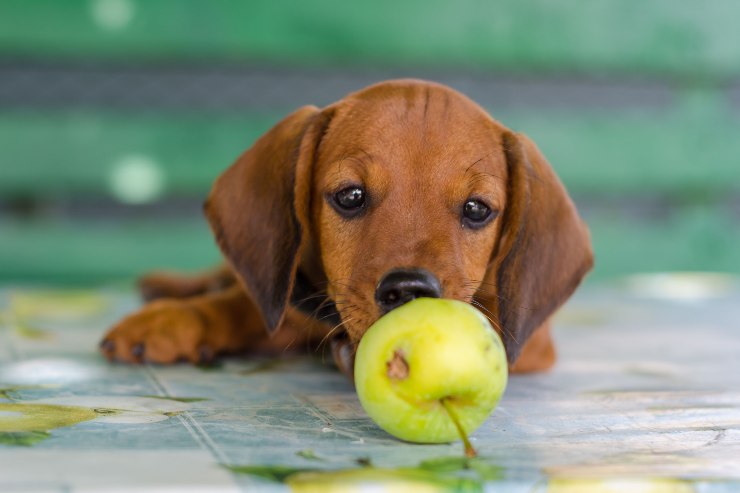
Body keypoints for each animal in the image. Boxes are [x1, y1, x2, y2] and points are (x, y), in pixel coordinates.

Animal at [101, 79, 592, 376]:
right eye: (350, 196)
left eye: (476, 209)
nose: (409, 290)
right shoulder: (292, 298)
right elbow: (239, 306)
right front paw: (173, 321)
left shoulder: (531, 340)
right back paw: (168, 288)